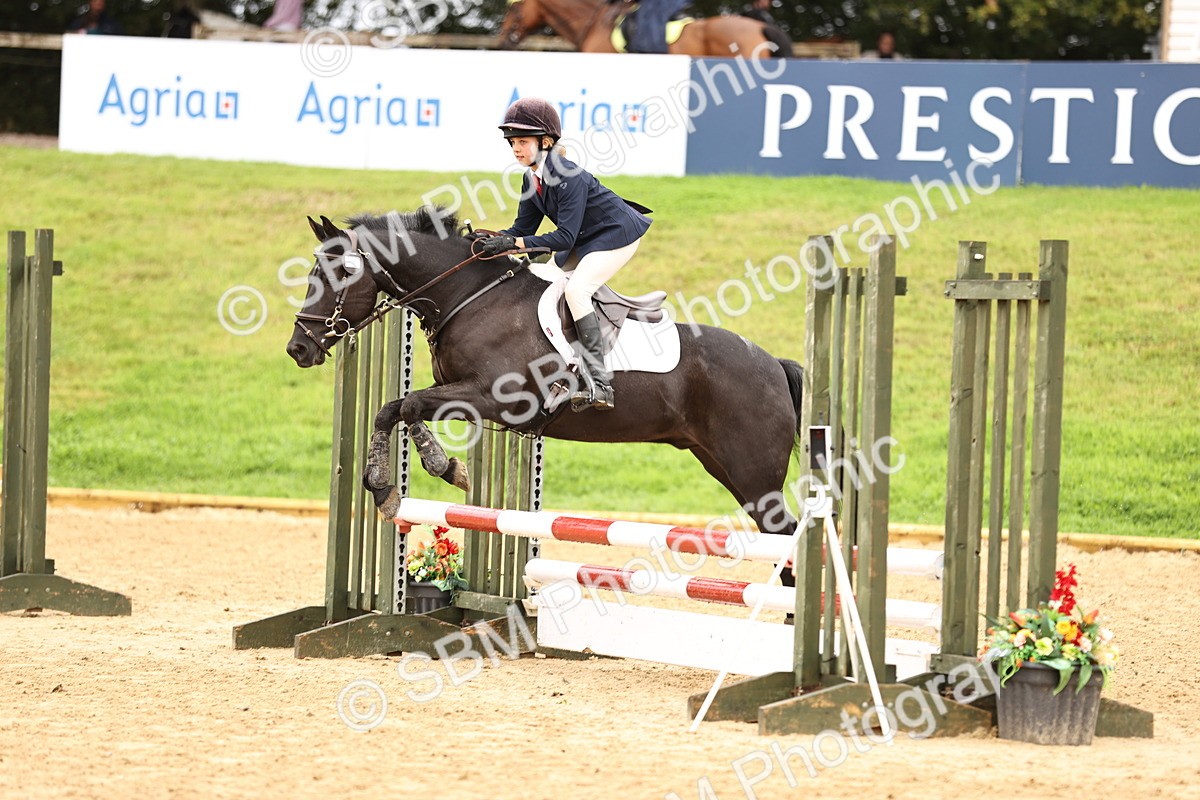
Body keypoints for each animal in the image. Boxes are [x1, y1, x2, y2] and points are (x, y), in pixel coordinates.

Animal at [287, 209, 806, 577]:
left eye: (337, 275)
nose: (298, 348)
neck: (469, 297)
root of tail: (774, 366)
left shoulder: (497, 398)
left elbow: (410, 405)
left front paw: (443, 467)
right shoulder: (455, 389)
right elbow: (392, 408)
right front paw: (387, 486)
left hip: (754, 473)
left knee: (787, 535)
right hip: (721, 463)